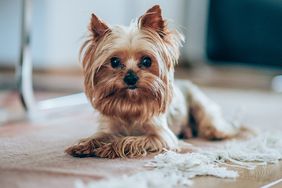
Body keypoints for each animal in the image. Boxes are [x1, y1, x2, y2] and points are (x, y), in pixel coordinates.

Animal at [65, 4, 239, 159]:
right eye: (114, 62)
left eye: (147, 61)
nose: (130, 77)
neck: (131, 103)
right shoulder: (109, 128)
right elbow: (99, 136)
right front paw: (84, 145)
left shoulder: (161, 137)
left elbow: (129, 140)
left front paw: (110, 147)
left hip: (200, 104)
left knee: (211, 121)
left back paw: (216, 133)